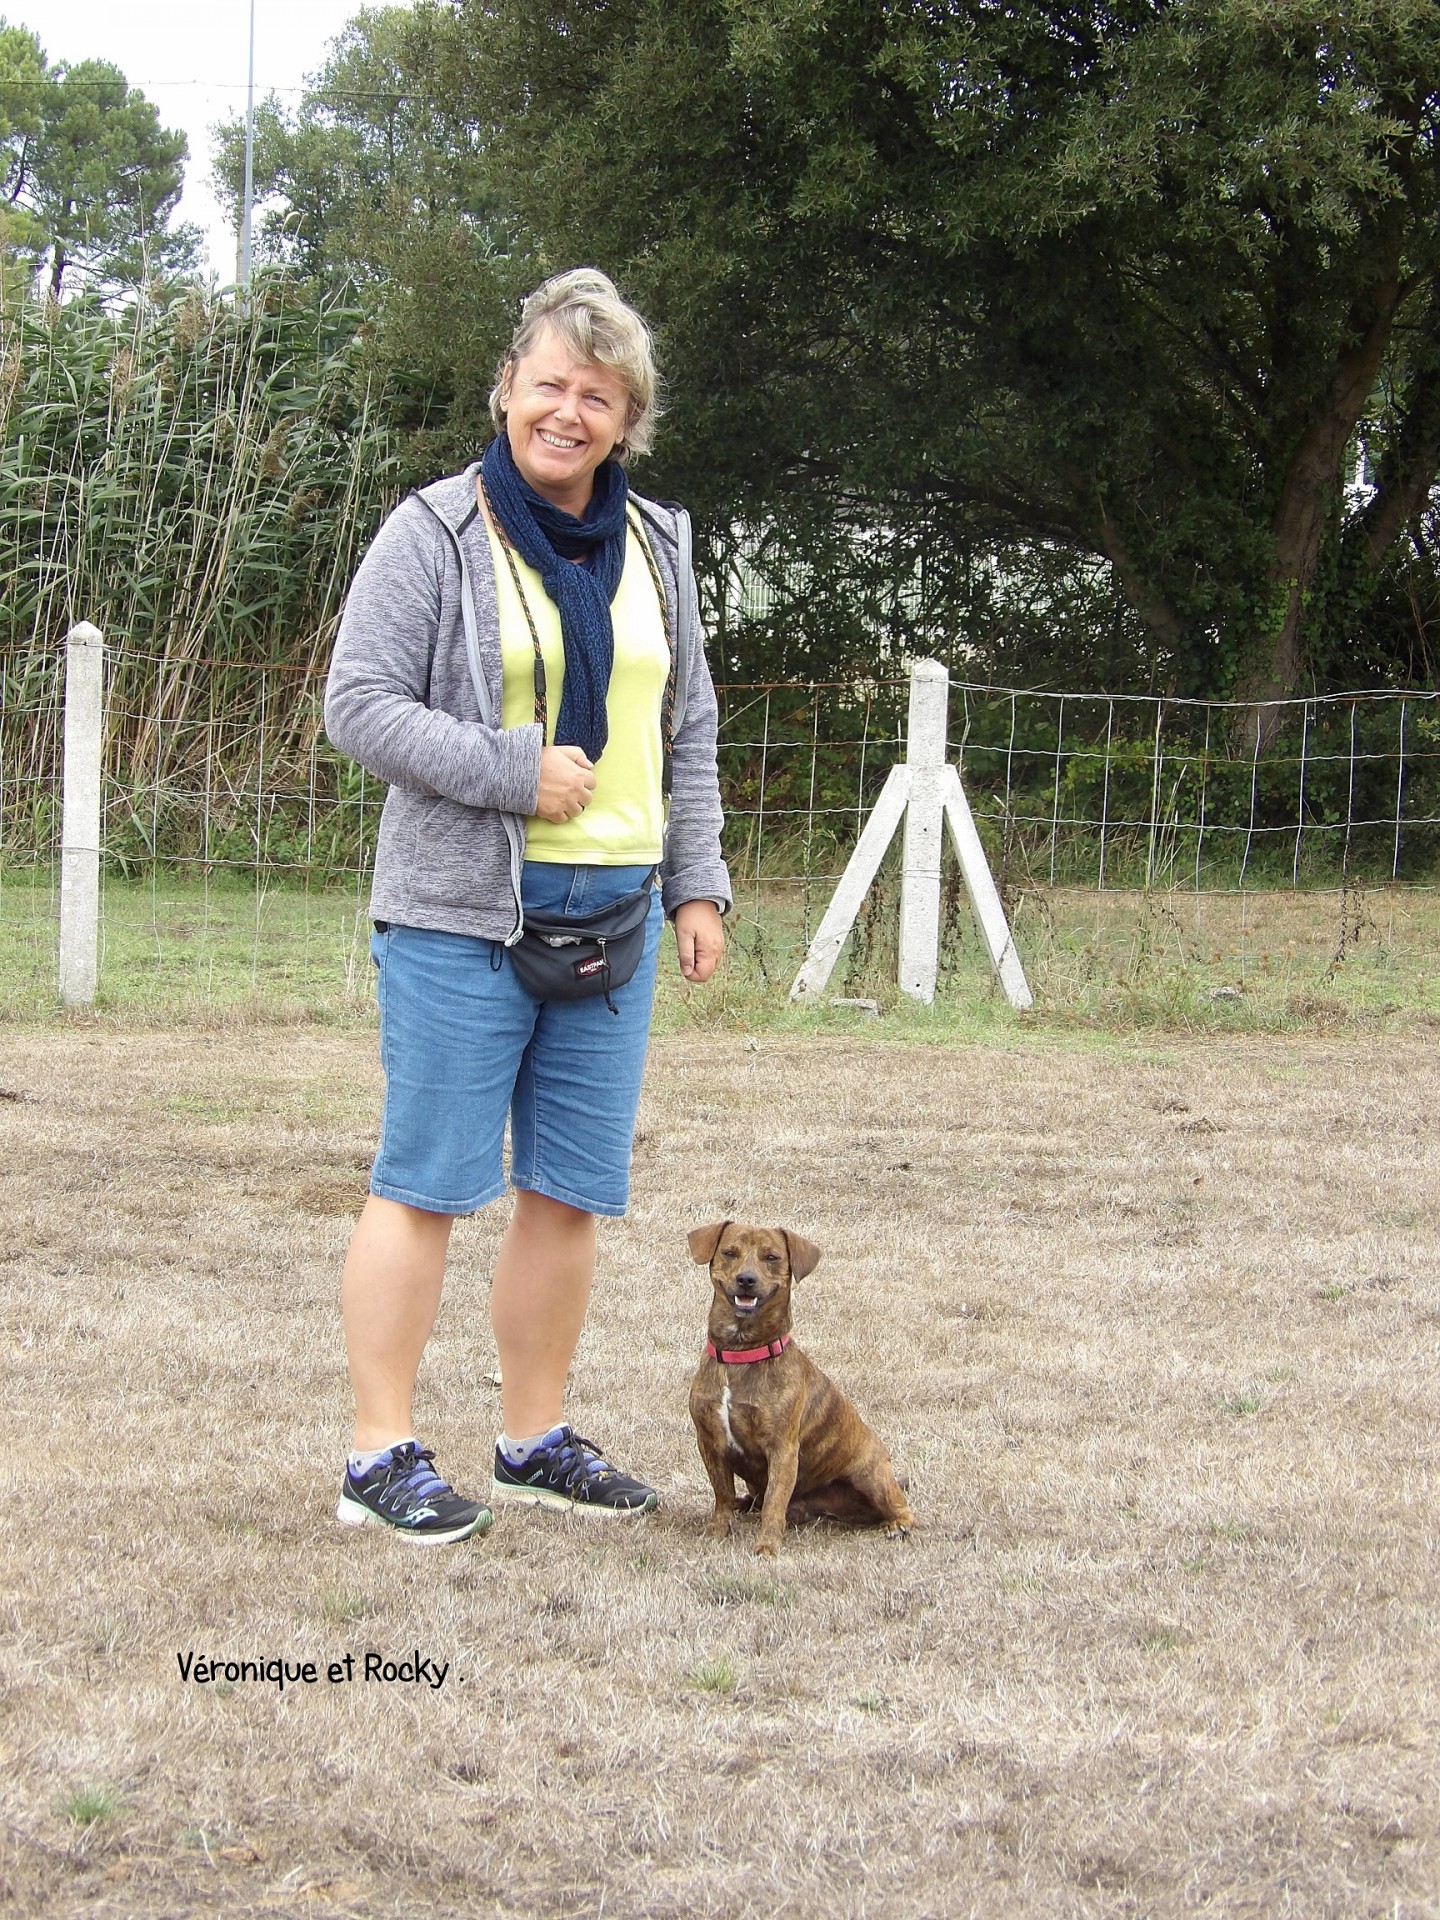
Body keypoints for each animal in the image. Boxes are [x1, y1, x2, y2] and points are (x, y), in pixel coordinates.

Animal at [687, 1228, 913, 1559]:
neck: (741, 1352)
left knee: (902, 1507)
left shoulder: (782, 1449)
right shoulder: (710, 1442)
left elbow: (773, 1503)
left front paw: (767, 1546)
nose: (746, 1279)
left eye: (772, 1257)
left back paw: (898, 1525)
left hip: (871, 1477)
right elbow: (722, 1493)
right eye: (729, 1252)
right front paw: (719, 1529)